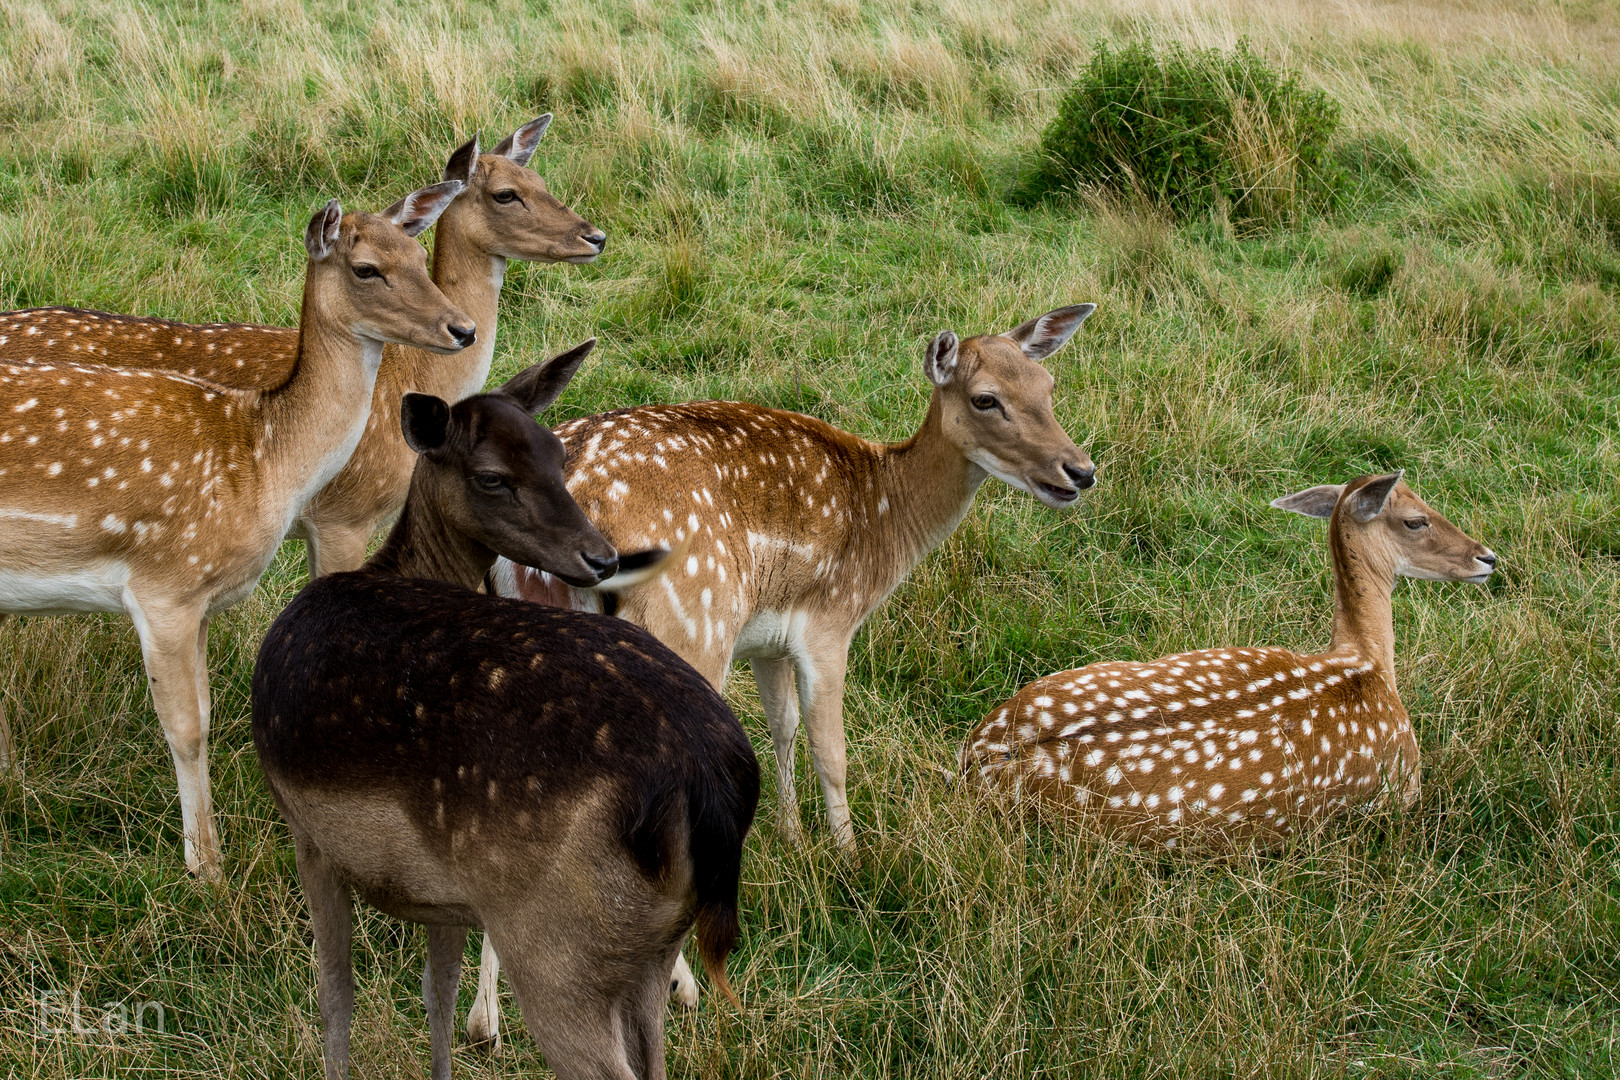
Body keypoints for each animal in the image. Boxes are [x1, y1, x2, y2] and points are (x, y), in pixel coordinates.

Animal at [0, 186, 476, 880]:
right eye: (366, 269)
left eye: (421, 255)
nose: (462, 328)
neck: (261, 463)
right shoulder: (164, 588)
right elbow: (185, 728)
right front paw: (207, 870)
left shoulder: (201, 601)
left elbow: (205, 708)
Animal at [252, 341, 758, 1080]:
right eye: (492, 476)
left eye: (557, 454)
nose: (601, 556)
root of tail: (714, 788)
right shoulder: (441, 888)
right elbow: (436, 993)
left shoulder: (306, 829)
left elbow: (333, 994)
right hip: (646, 947)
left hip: (555, 942)